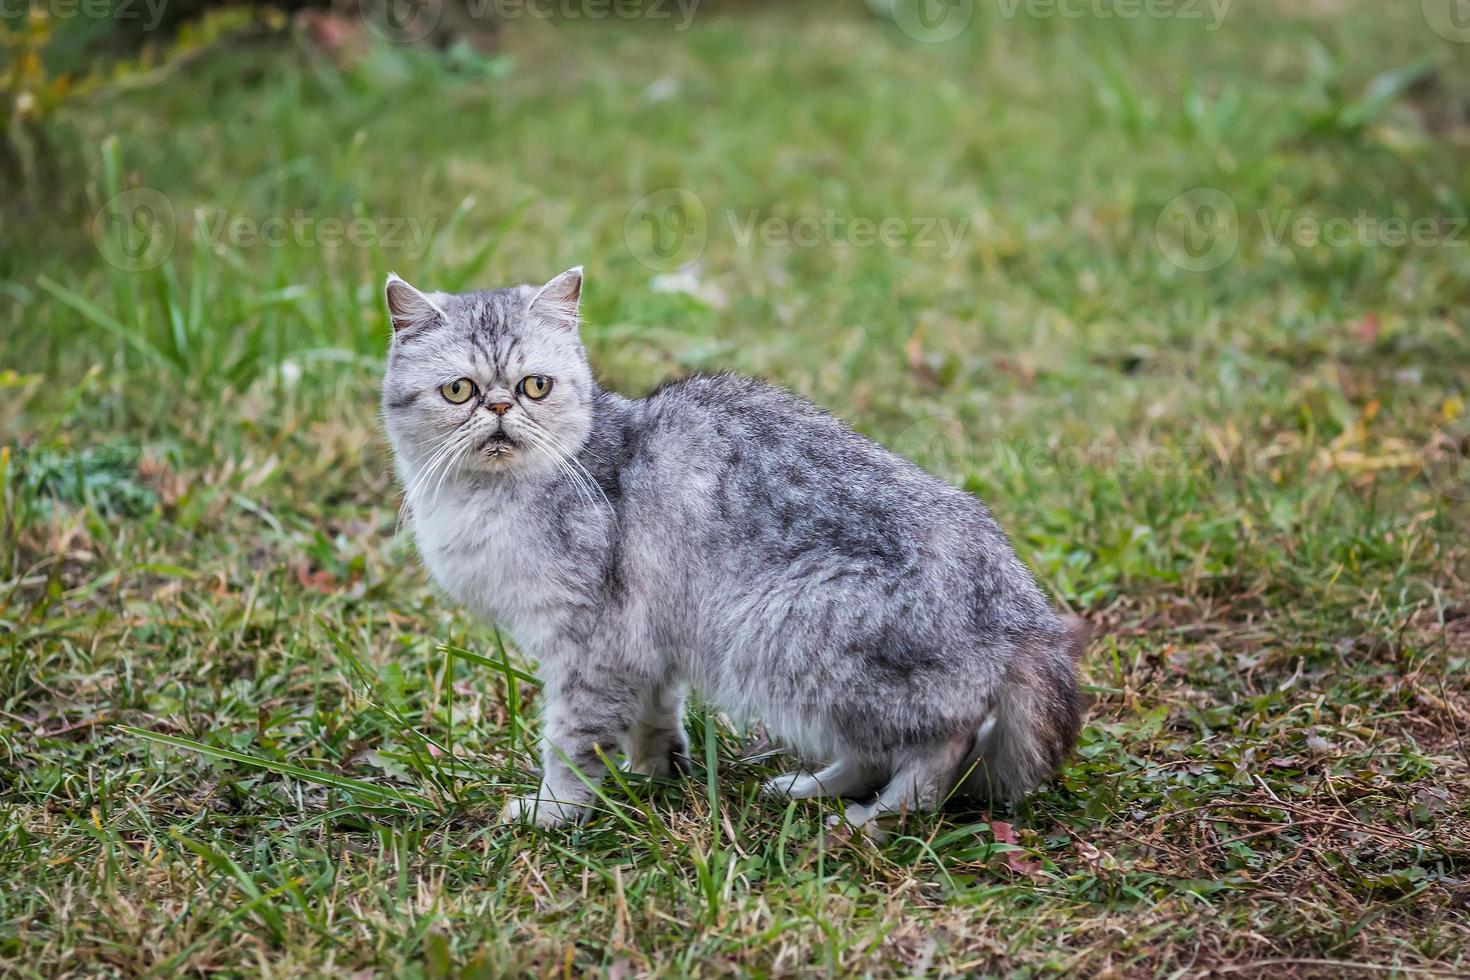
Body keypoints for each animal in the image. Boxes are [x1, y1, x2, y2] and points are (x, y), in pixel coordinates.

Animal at [385, 265, 1087, 828]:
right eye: (459, 390)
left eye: (535, 386)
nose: (500, 409)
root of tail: (1025, 616)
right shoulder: (642, 641)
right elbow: (654, 715)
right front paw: (655, 772)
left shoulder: (592, 646)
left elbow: (573, 742)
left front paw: (554, 811)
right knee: (874, 750)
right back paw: (811, 789)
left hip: (790, 636)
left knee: (942, 742)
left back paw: (877, 819)